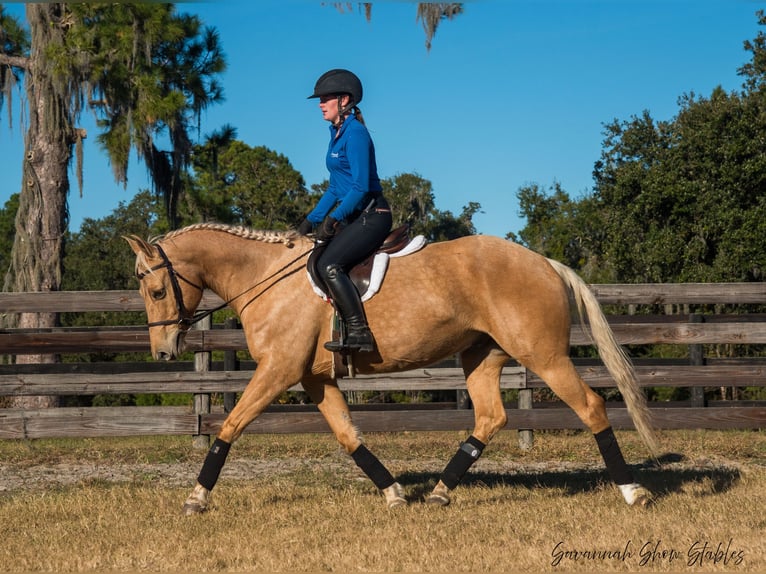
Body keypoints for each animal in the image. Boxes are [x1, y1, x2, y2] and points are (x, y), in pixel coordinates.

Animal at [126, 223, 660, 516]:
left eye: (156, 291)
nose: (163, 352)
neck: (264, 277)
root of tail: (544, 262)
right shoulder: (315, 377)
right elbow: (349, 437)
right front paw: (395, 494)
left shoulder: (278, 370)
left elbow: (230, 426)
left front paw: (196, 498)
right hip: (482, 356)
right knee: (490, 418)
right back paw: (440, 494)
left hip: (543, 357)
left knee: (591, 406)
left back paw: (633, 492)